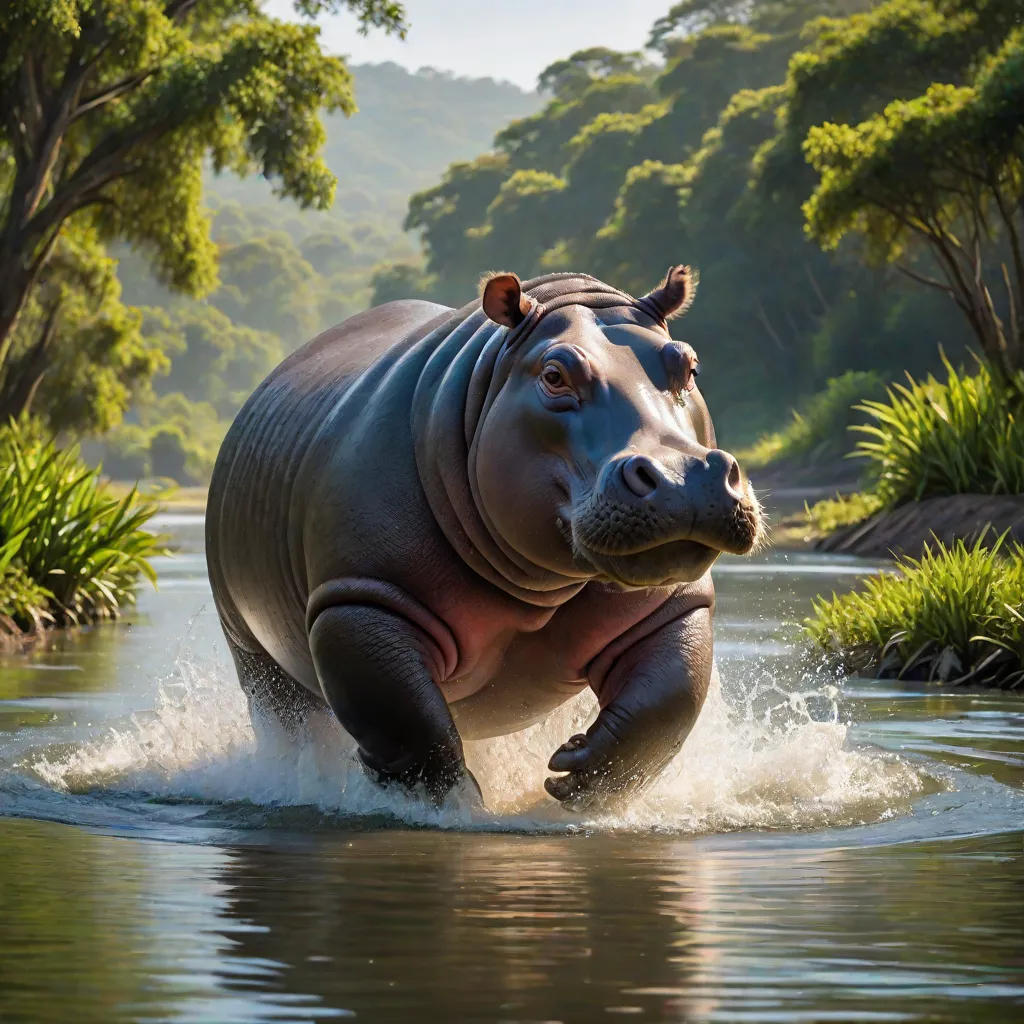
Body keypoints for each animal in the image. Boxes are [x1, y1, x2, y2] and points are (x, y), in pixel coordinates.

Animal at [206, 267, 763, 810]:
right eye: (554, 375)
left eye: (688, 366)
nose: (682, 478)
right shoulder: (360, 600)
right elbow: (410, 728)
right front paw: (458, 808)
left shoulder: (671, 604)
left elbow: (668, 703)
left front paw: (575, 775)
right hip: (249, 648)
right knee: (291, 721)